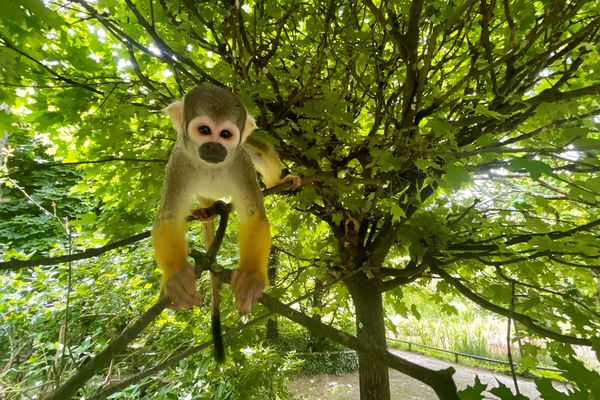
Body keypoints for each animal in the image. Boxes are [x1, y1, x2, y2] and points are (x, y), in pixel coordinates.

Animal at [152, 85, 298, 360]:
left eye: (226, 134)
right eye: (204, 130)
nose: (213, 147)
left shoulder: (240, 162)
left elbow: (254, 215)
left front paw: (250, 276)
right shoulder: (178, 160)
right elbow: (168, 216)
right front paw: (176, 276)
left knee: (260, 147)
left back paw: (277, 183)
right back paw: (208, 210)